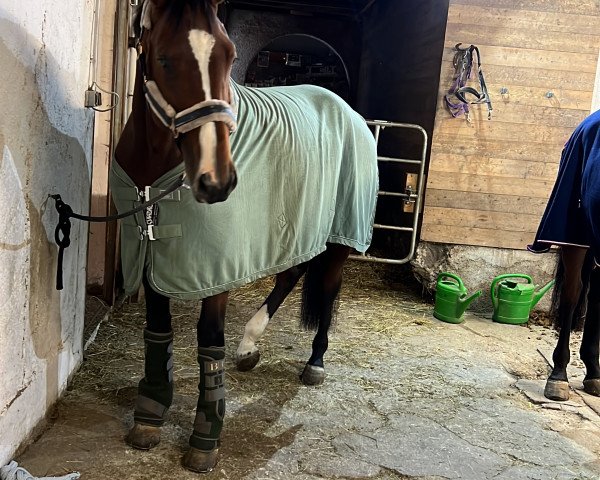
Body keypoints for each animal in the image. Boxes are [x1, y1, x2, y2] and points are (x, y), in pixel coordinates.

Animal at [110, 0, 378, 472]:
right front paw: (150, 414)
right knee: (292, 274)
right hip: (299, 228)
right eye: (164, 58)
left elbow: (208, 339)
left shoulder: (217, 266)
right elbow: (157, 330)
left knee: (327, 288)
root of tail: (348, 112)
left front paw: (205, 437)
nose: (216, 181)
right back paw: (249, 347)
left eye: (230, 55)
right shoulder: (151, 254)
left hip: (340, 237)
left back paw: (315, 361)